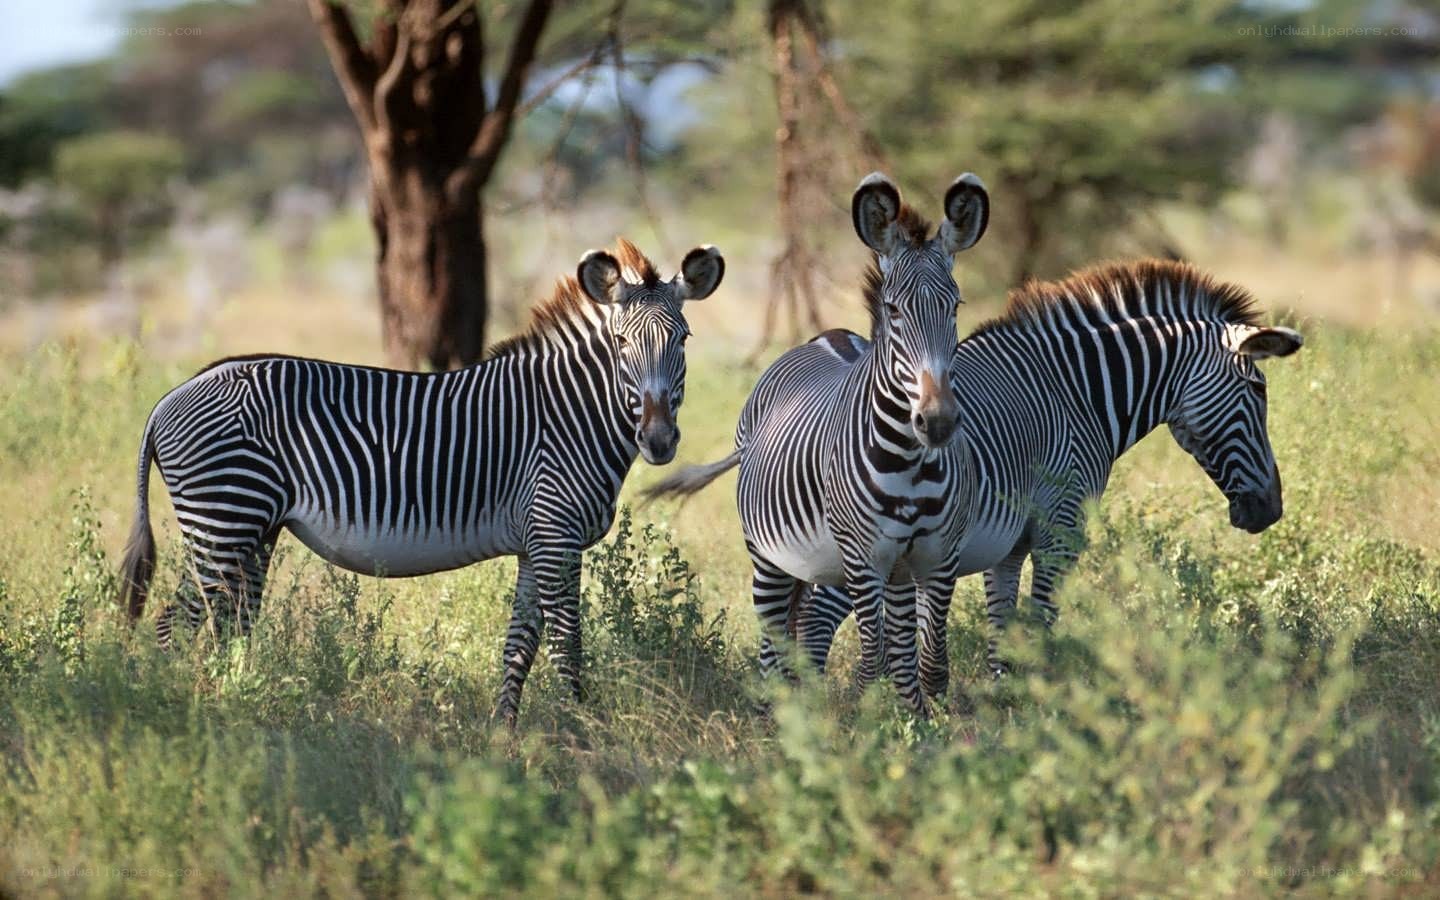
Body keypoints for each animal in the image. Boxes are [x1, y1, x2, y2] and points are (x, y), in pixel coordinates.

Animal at [117, 239, 726, 723]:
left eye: (684, 340)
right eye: (622, 345)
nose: (659, 441)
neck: (571, 414)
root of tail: (170, 396)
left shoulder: (536, 543)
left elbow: (519, 646)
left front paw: (505, 735)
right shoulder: (556, 536)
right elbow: (565, 645)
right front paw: (582, 732)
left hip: (252, 530)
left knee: (231, 623)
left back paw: (235, 701)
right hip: (223, 519)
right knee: (177, 624)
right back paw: (185, 711)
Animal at [642, 172, 989, 715]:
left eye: (955, 307)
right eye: (893, 310)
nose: (937, 422)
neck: (910, 463)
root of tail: (829, 335)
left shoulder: (937, 557)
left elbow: (927, 662)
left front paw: (920, 725)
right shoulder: (863, 560)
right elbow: (872, 660)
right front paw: (868, 723)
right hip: (769, 557)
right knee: (773, 641)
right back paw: (778, 714)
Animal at [791, 259, 1304, 694]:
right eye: (1258, 388)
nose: (1271, 509)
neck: (1077, 394)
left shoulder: (1010, 542)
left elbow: (1003, 629)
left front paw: (1007, 703)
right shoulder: (1061, 527)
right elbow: (1040, 623)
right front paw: (1047, 707)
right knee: (816, 624)